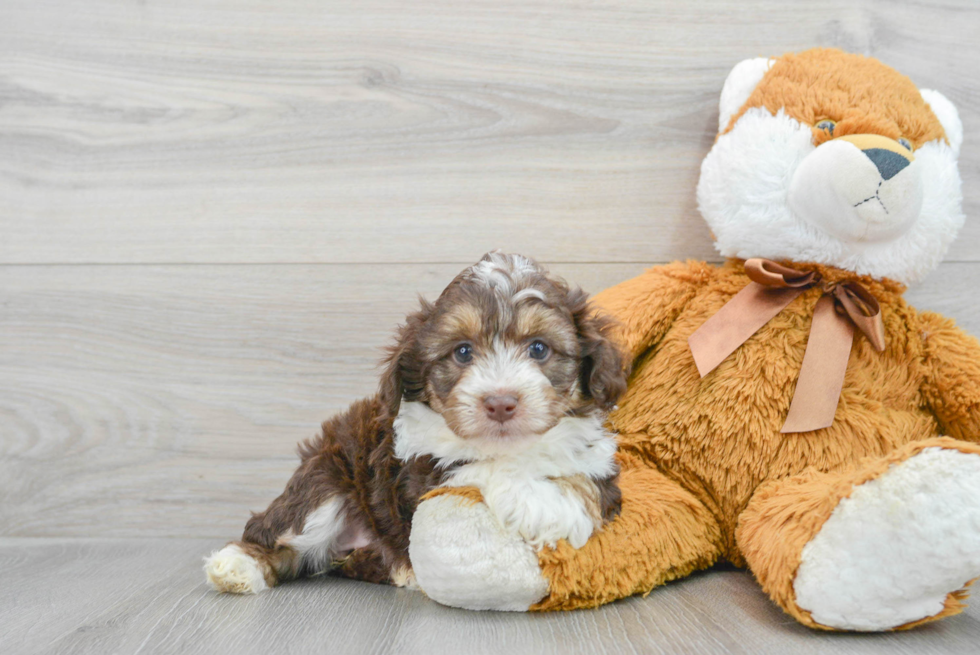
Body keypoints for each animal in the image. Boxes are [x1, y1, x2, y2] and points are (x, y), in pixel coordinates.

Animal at [205, 254, 628, 596]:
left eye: (539, 348)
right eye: (462, 352)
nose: (500, 402)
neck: (510, 447)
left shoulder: (597, 462)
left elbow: (584, 488)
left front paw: (549, 506)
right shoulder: (416, 467)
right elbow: (470, 467)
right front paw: (534, 503)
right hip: (323, 484)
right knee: (279, 536)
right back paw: (236, 567)